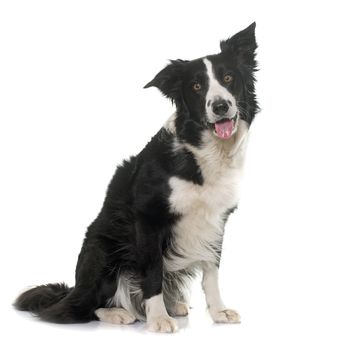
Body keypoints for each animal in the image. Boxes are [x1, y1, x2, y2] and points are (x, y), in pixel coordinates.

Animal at [15, 22, 258, 334]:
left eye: (228, 78)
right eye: (196, 87)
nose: (220, 106)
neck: (203, 151)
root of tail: (73, 289)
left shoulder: (216, 220)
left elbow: (211, 271)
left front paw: (218, 312)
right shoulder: (148, 217)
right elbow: (152, 271)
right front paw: (158, 319)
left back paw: (170, 305)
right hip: (102, 249)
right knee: (82, 307)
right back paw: (118, 312)